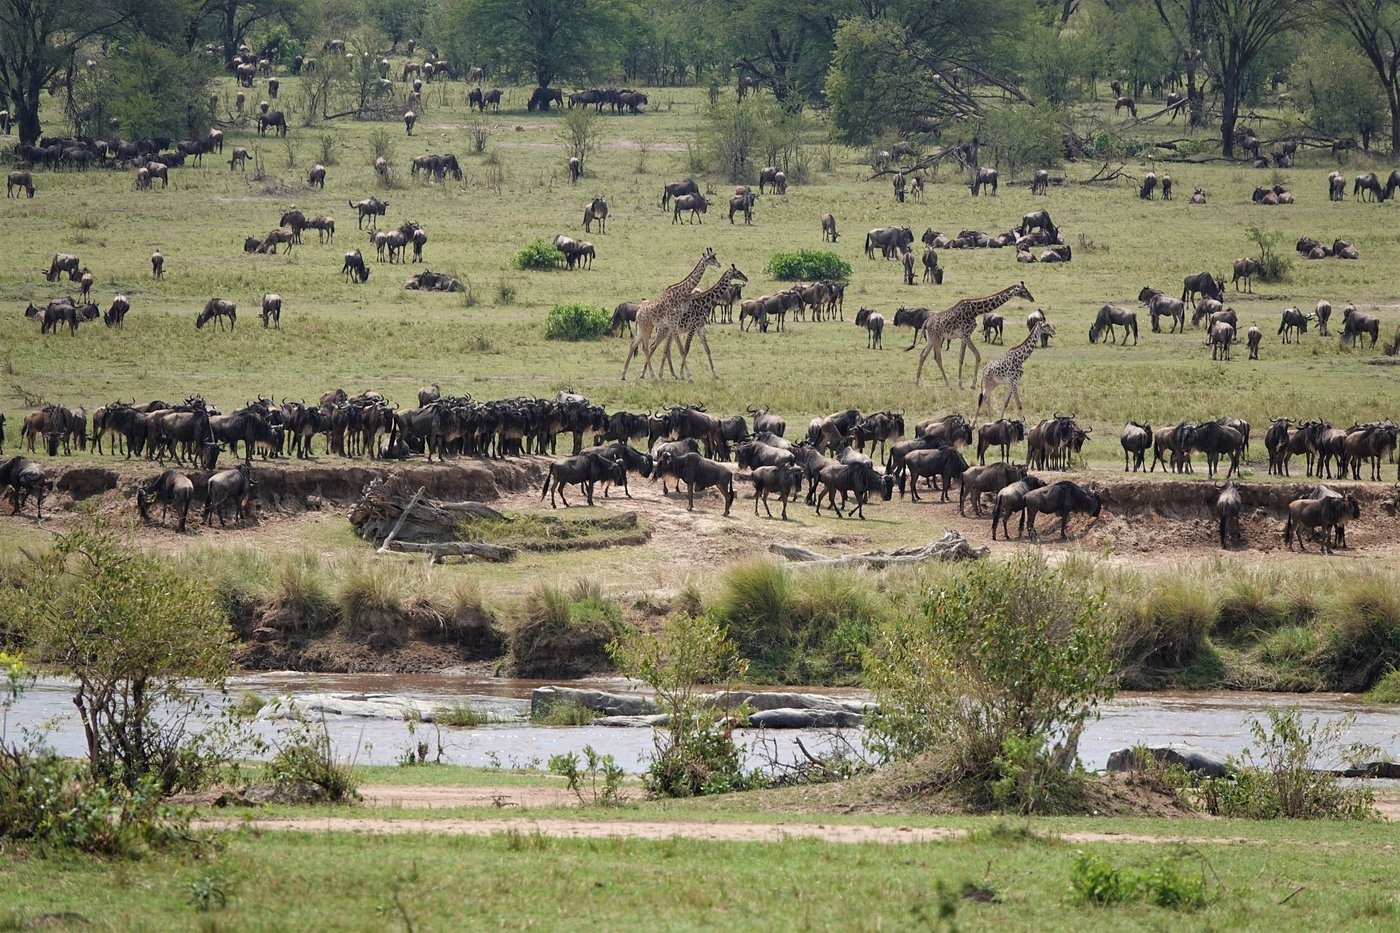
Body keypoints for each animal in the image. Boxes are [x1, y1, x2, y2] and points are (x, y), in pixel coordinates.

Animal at [620, 248, 719, 380]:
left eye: (715, 257)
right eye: (709, 259)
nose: (719, 264)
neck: (680, 294)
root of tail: (638, 312)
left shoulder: (675, 325)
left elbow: (676, 349)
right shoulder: (673, 324)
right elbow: (681, 349)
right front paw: (688, 376)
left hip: (643, 329)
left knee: (634, 345)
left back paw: (624, 374)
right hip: (647, 328)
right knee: (646, 347)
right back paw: (651, 374)